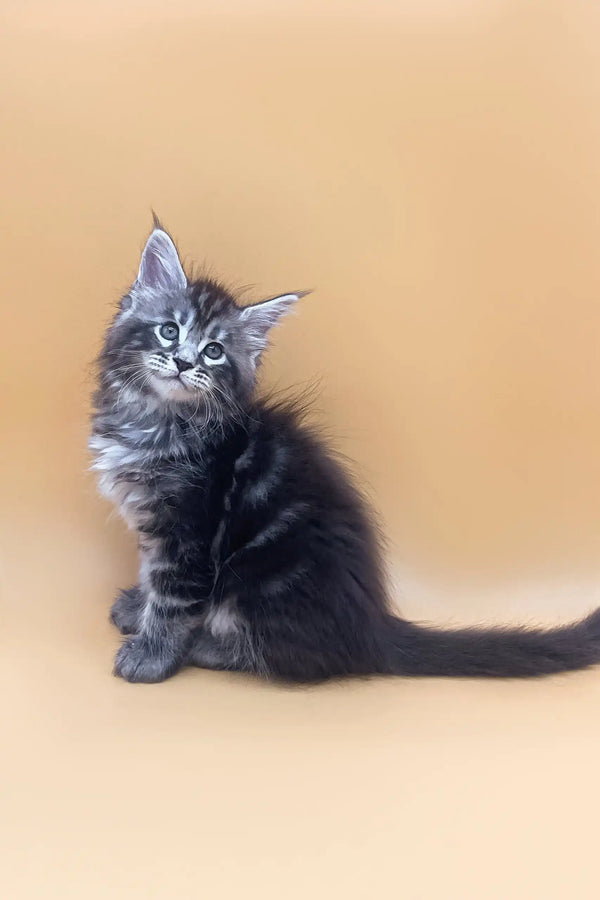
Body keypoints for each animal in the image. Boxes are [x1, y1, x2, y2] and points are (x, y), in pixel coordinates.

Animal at [89, 223, 600, 684]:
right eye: (168, 330)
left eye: (214, 351)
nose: (183, 362)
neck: (155, 421)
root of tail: (370, 627)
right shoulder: (152, 525)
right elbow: (151, 573)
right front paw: (139, 606)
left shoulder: (191, 529)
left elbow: (173, 598)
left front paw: (151, 655)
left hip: (259, 580)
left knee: (289, 655)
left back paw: (206, 646)